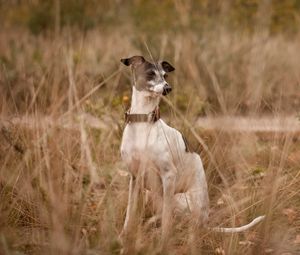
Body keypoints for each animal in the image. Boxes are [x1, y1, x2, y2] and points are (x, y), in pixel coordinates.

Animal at [119, 55, 264, 247]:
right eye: (150, 73)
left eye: (165, 75)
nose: (168, 88)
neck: (143, 122)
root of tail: (205, 222)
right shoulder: (134, 177)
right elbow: (129, 213)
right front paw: (123, 237)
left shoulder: (168, 175)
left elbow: (166, 219)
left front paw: (163, 242)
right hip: (153, 195)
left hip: (177, 198)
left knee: (181, 223)